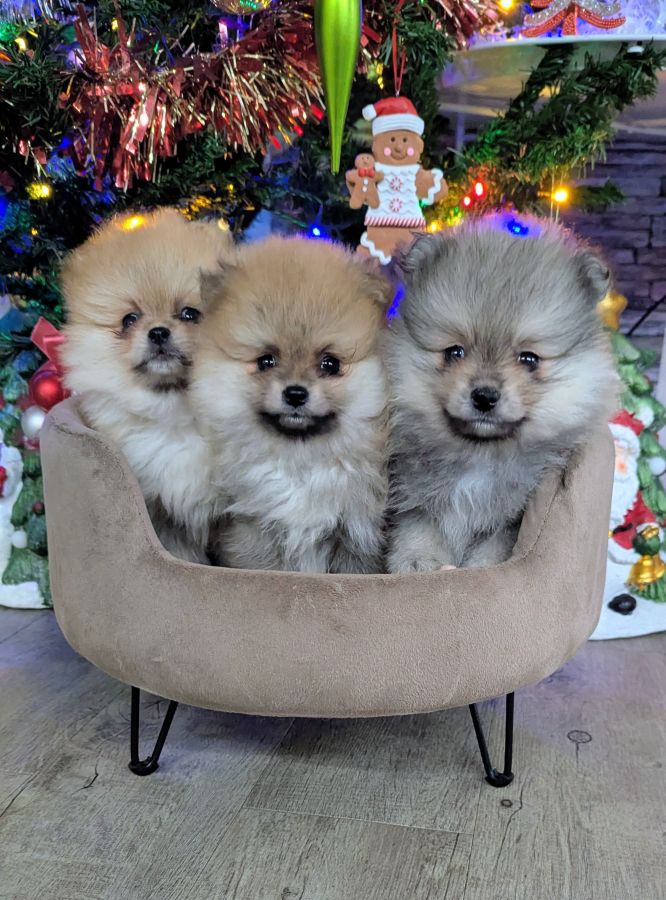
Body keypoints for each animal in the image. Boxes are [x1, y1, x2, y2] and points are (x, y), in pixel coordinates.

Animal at [192, 236, 392, 573]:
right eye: (266, 361)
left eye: (330, 363)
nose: (295, 393)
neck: (301, 463)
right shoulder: (254, 530)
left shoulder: (356, 534)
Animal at [385, 214, 617, 572]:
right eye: (454, 352)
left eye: (529, 359)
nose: (484, 396)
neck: (480, 457)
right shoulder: (414, 497)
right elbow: (418, 530)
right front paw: (420, 561)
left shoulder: (509, 522)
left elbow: (490, 556)